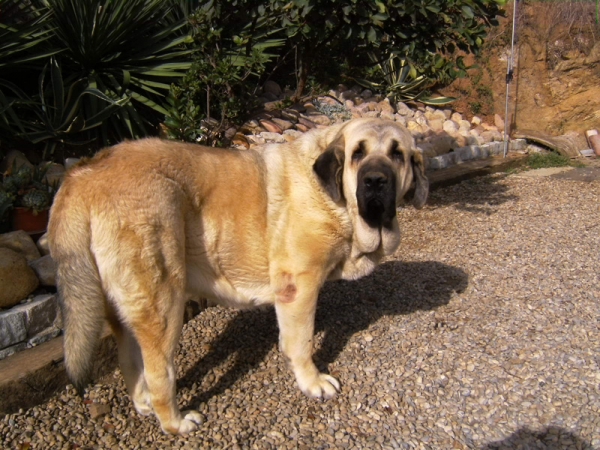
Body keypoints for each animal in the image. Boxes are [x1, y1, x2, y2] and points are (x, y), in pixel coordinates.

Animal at [49, 118, 428, 434]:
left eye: (397, 154)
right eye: (357, 154)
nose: (375, 180)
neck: (335, 200)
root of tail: (83, 174)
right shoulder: (300, 287)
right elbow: (303, 341)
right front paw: (312, 381)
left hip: (126, 309)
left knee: (130, 360)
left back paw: (143, 404)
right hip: (164, 305)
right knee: (160, 375)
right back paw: (175, 422)